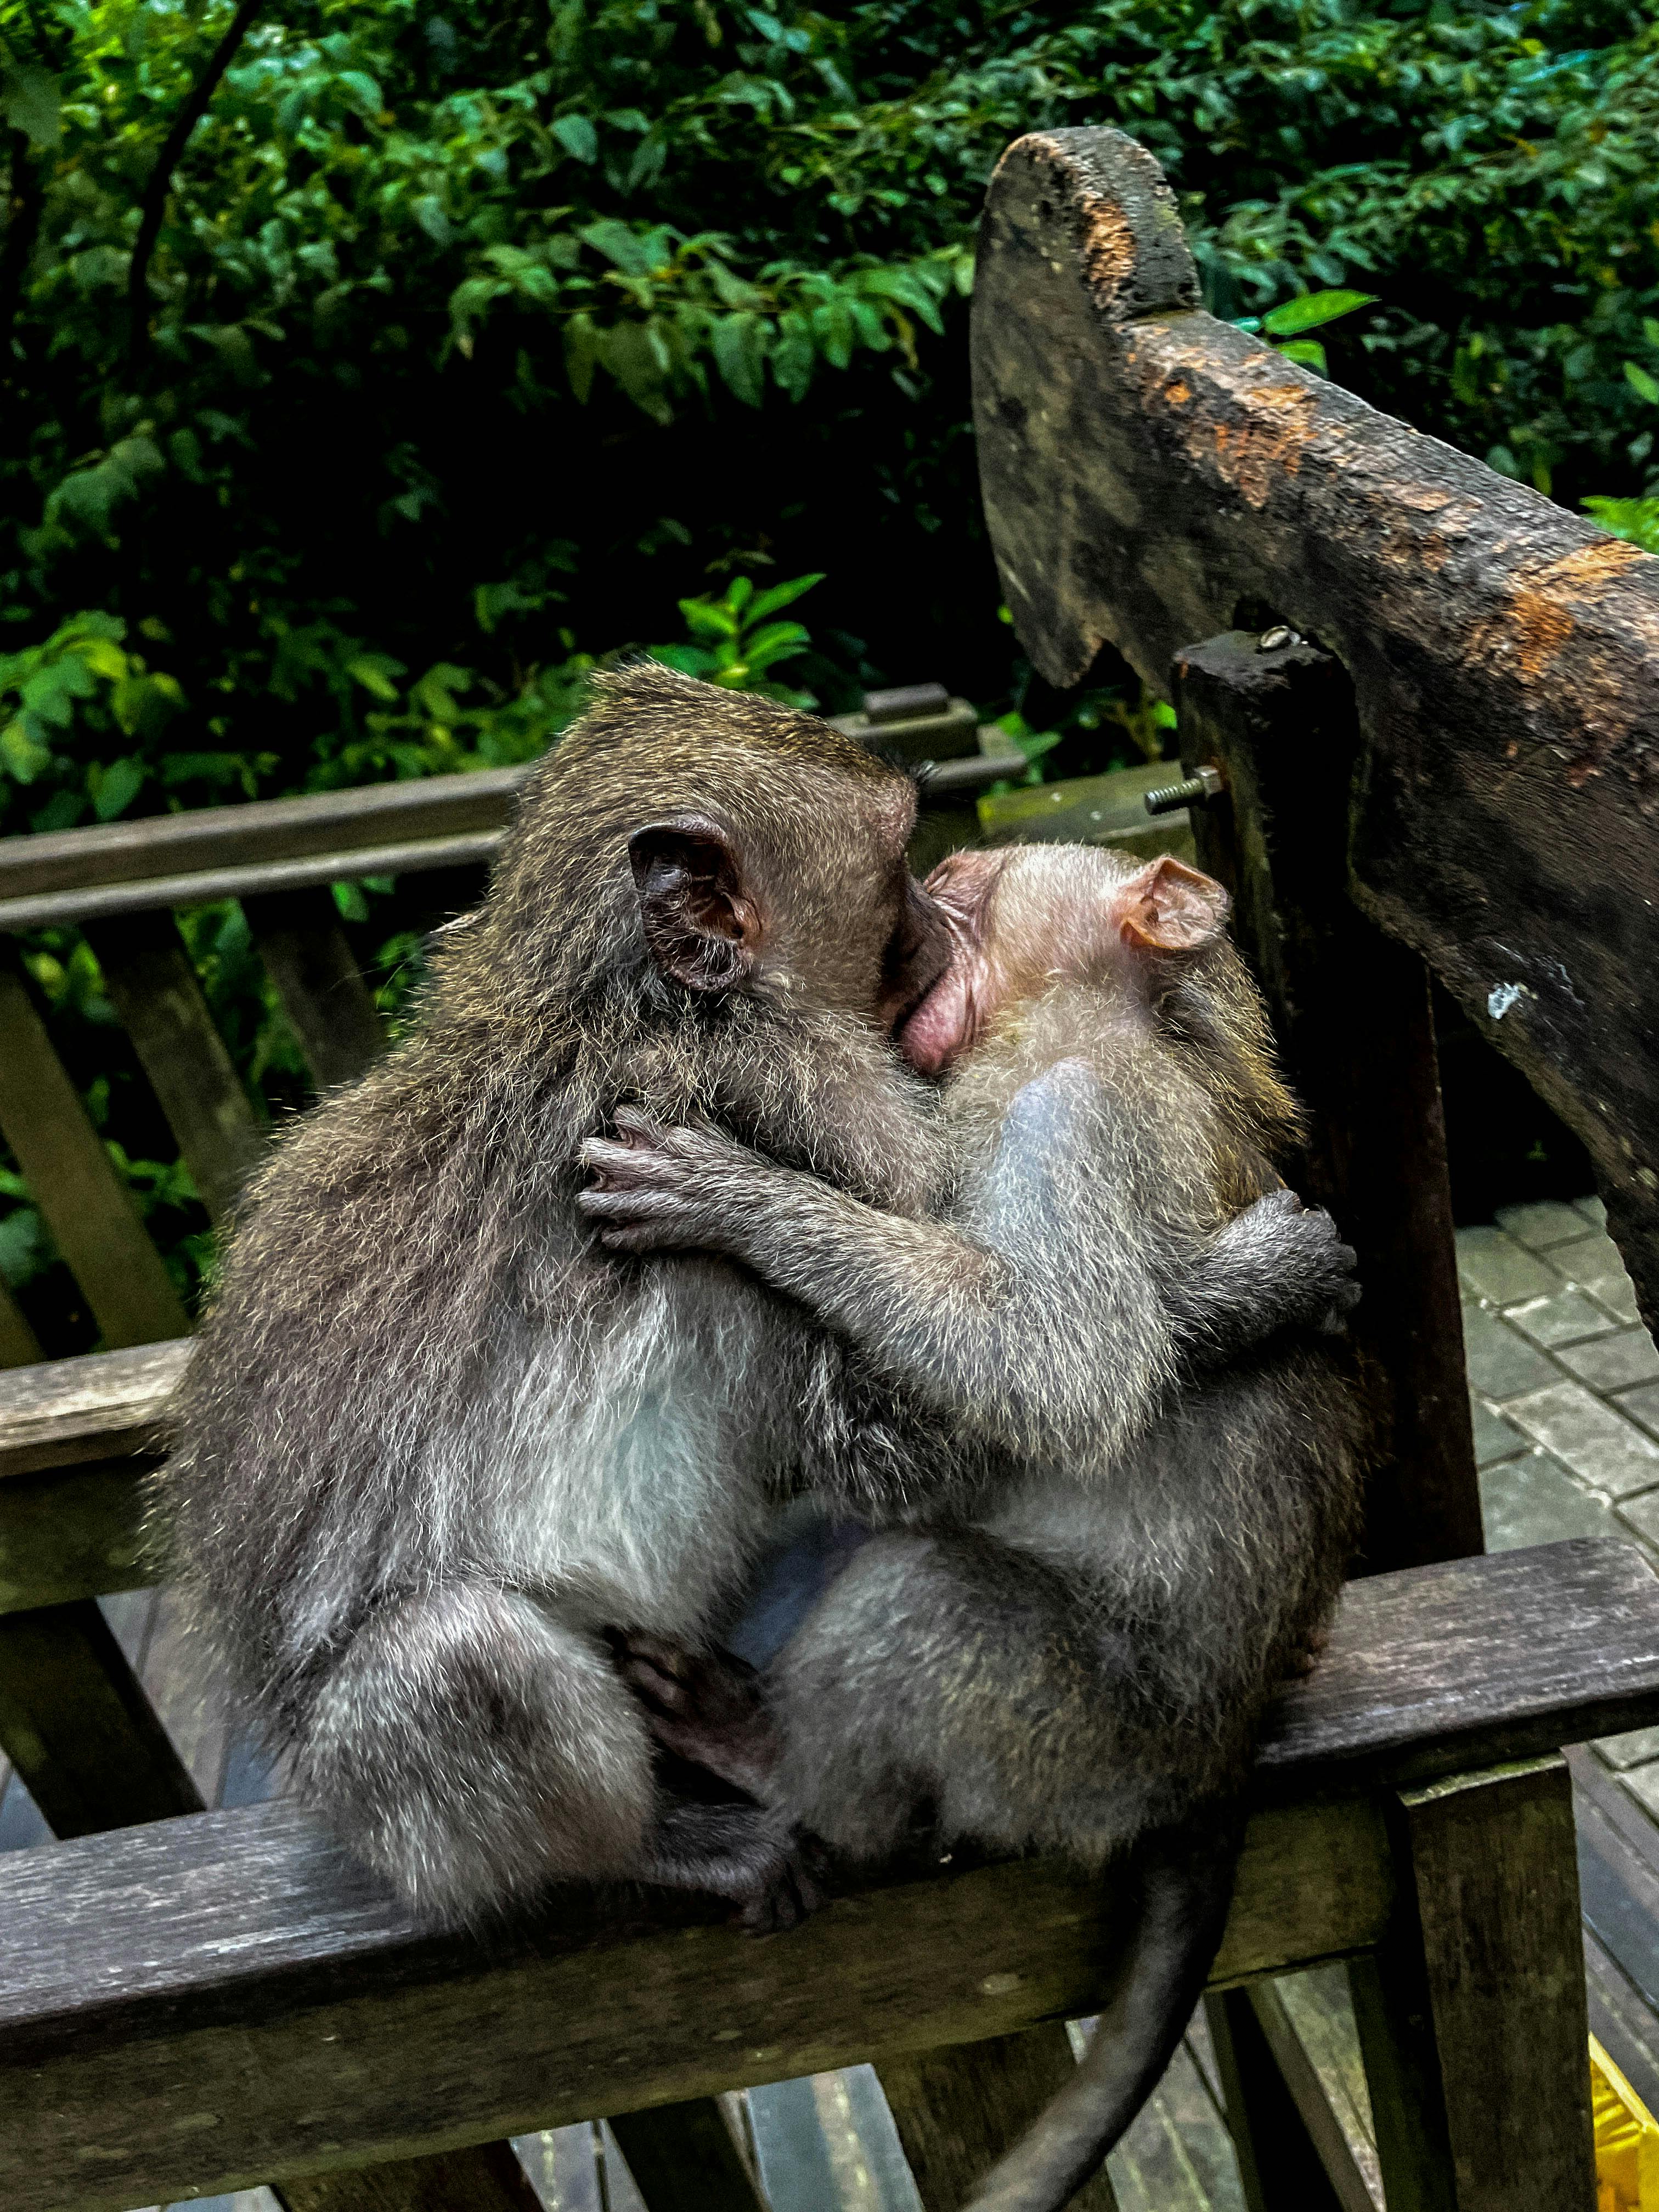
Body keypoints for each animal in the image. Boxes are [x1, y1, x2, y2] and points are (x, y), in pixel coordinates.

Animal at [578, 841, 1367, 2212]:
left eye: (958, 874)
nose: (913, 915)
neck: (1102, 1023)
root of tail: (1217, 1759)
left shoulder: (1078, 1124)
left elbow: (1048, 1375)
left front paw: (746, 1199)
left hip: (1089, 1736)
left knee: (922, 1596)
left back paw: (770, 1758)